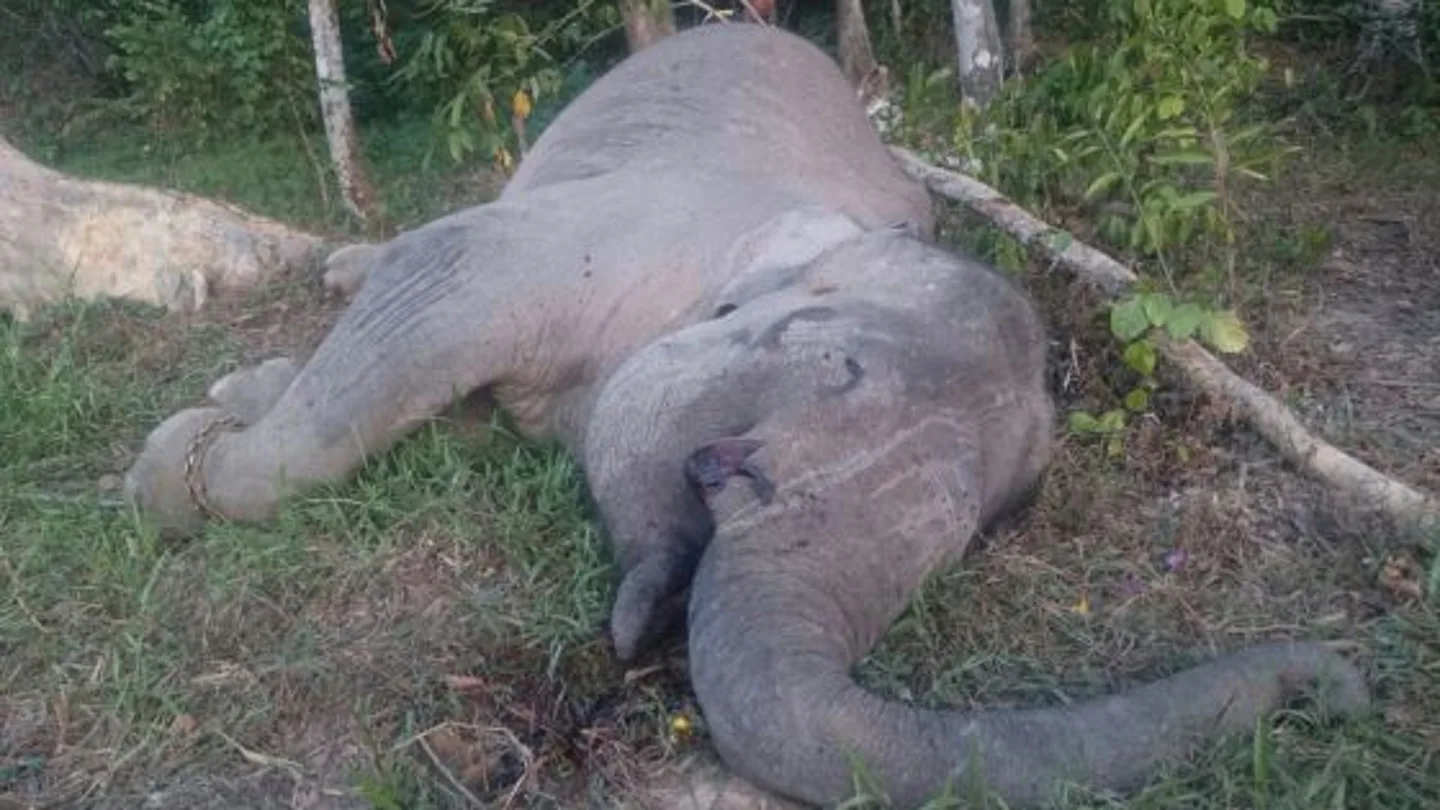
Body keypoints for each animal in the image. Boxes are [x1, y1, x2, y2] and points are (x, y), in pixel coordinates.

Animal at [123, 21, 1370, 810]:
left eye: (974, 533)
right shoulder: (599, 241)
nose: (1345, 684)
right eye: (838, 369)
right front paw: (175, 464)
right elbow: (444, 280)